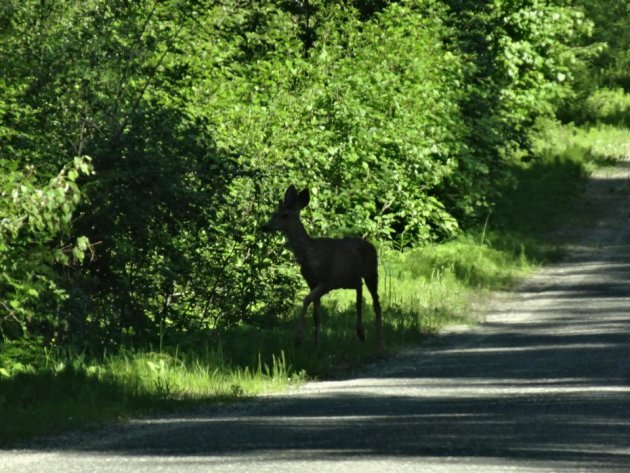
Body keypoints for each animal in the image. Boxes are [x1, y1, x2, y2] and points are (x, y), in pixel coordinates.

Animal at [262, 184, 386, 350]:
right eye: (274, 213)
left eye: (285, 215)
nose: (264, 226)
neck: (309, 254)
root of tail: (372, 245)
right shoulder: (312, 282)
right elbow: (316, 316)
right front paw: (316, 346)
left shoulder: (326, 281)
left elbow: (306, 300)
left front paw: (298, 339)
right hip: (349, 279)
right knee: (359, 290)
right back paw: (361, 333)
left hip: (371, 272)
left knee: (376, 303)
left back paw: (379, 343)